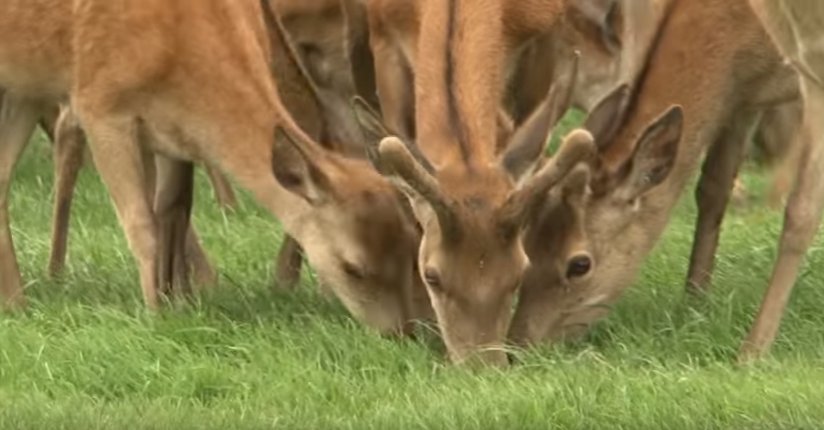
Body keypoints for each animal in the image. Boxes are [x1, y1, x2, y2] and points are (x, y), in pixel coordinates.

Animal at [0, 0, 432, 339]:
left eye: (413, 245)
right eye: (352, 267)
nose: (400, 332)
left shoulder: (173, 136)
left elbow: (173, 209)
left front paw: (181, 301)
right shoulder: (100, 105)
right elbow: (141, 225)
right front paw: (156, 314)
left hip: (23, 89)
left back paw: (16, 302)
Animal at [506, 0, 809, 363]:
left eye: (579, 264)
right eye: (527, 243)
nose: (517, 348)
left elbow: (798, 214)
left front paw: (753, 351)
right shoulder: (743, 98)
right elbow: (712, 190)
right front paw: (694, 303)